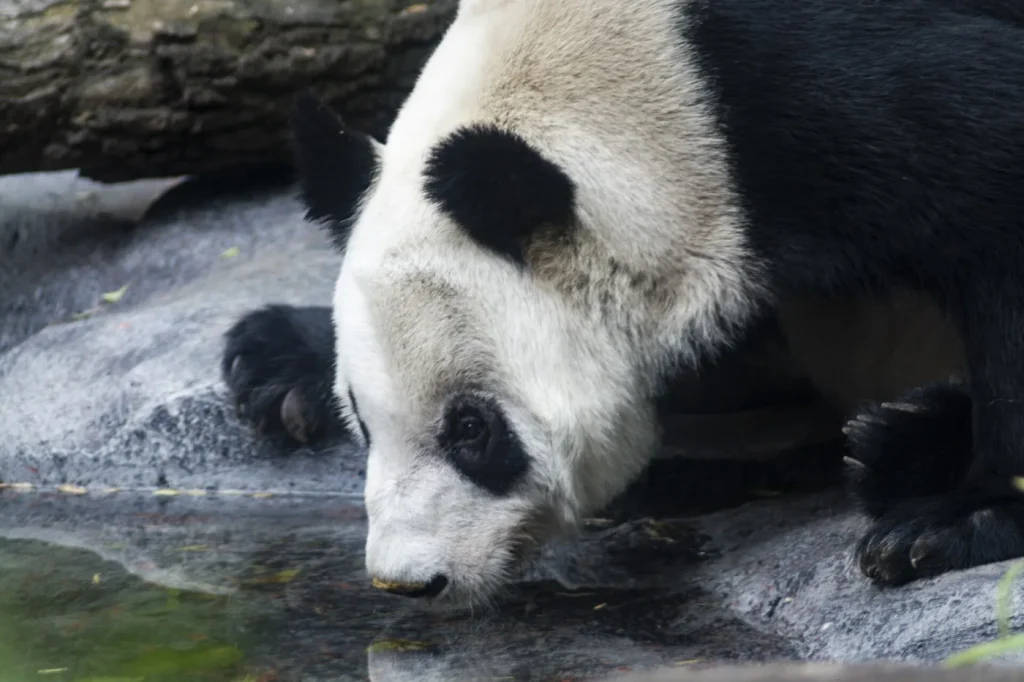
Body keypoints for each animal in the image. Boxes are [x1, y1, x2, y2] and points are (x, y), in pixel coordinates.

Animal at [221, 0, 1024, 607]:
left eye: (472, 430)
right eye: (362, 418)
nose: (407, 582)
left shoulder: (836, 86)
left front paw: (963, 520)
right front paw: (278, 354)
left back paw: (905, 449)